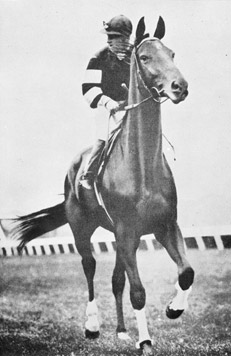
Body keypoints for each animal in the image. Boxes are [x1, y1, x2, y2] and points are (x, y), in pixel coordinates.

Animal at [8, 15, 194, 354]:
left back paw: (120, 330)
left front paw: (174, 308)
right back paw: (92, 325)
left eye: (172, 53)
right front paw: (145, 340)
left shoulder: (164, 225)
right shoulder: (126, 231)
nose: (180, 87)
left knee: (116, 280)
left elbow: (185, 272)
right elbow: (138, 291)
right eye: (145, 57)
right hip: (81, 227)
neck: (141, 165)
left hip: (120, 239)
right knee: (90, 266)